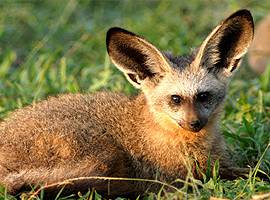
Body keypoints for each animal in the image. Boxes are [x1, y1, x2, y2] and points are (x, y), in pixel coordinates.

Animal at [0, 8, 254, 198]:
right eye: (175, 99)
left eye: (203, 96)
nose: (194, 123)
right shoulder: (182, 175)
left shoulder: (219, 164)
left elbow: (253, 169)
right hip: (102, 155)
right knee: (38, 190)